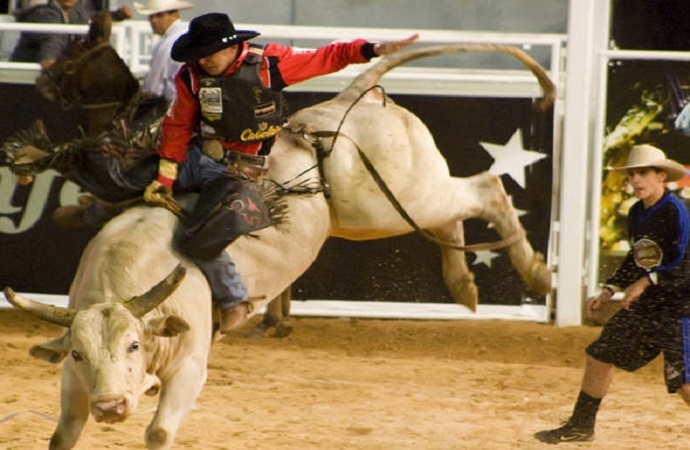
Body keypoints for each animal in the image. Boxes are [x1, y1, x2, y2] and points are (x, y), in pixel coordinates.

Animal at [4, 43, 552, 450]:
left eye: (134, 344)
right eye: (79, 353)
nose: (111, 407)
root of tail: (349, 102)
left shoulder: (191, 366)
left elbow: (159, 431)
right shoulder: (74, 381)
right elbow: (62, 434)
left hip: (393, 203)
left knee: (486, 189)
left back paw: (536, 274)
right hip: (388, 210)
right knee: (452, 215)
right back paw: (464, 285)